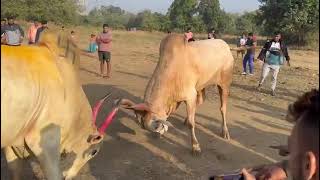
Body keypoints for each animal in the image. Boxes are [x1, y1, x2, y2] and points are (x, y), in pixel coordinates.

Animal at [1, 33, 119, 179]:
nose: (70, 176)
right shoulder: (46, 142)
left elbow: (15, 169)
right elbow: (54, 175)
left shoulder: (10, 144)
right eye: (94, 151)